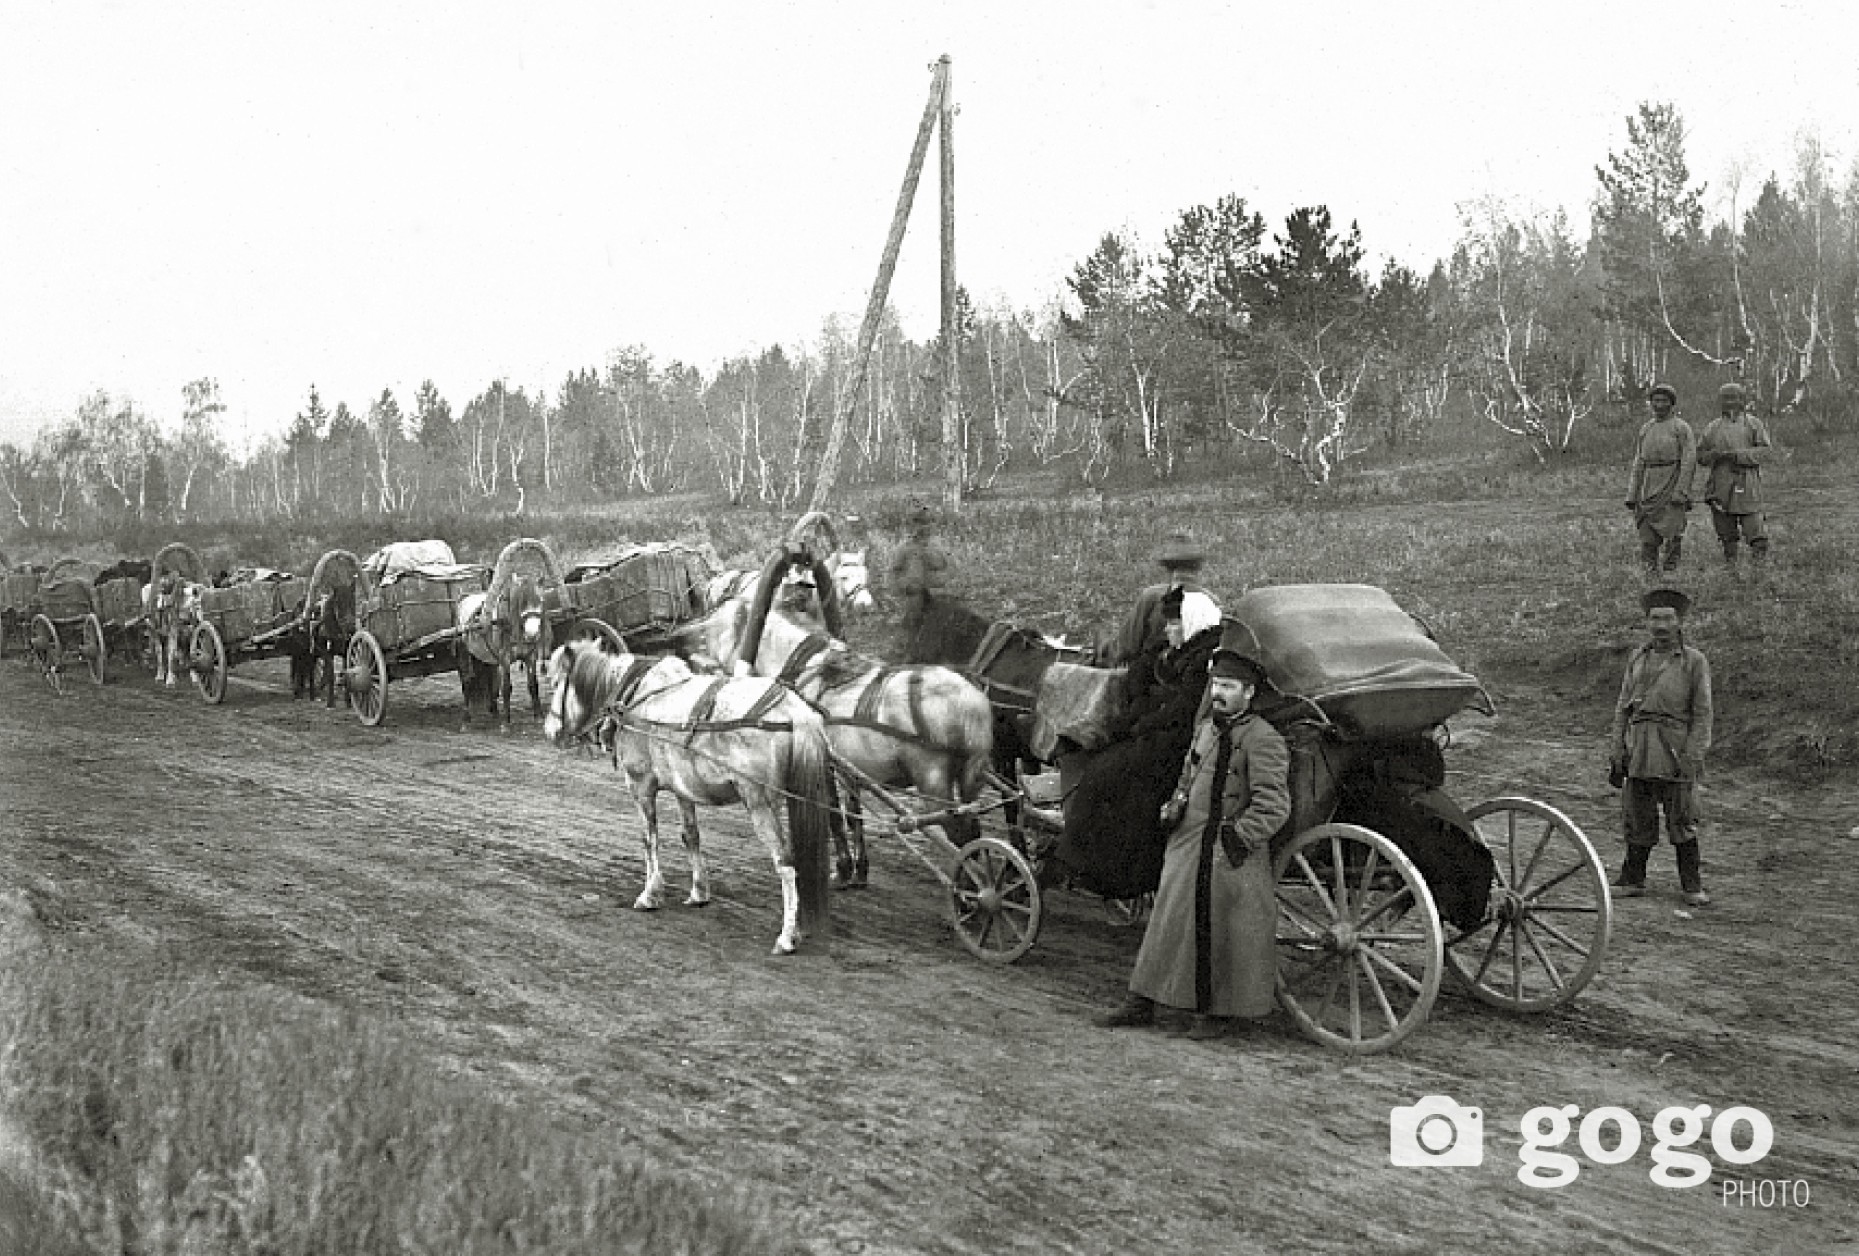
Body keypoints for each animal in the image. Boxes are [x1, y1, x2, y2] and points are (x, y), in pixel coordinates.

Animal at [542, 639, 836, 951]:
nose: (549, 730)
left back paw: (787, 935)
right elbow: (690, 836)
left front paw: (650, 894)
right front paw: (699, 892)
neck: (632, 697)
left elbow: (649, 839)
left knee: (786, 864)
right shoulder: (683, 790)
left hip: (761, 803)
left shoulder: (640, 785)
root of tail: (794, 711)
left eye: (556, 682)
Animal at [676, 601, 996, 888]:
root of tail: (973, 701)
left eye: (714, 621)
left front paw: (842, 868)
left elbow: (832, 812)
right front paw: (859, 870)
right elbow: (854, 816)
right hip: (968, 779)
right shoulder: (849, 770)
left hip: (933, 778)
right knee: (972, 827)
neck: (812, 674)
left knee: (956, 831)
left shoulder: (824, 764)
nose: (676, 637)